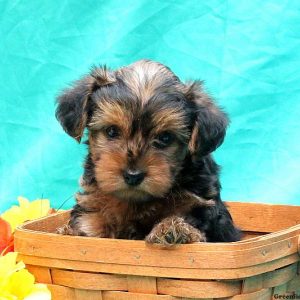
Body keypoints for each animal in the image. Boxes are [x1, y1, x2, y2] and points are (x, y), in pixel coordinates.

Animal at [55, 59, 241, 245]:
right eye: (112, 131)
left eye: (165, 137)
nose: (133, 175)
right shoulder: (94, 200)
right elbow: (91, 220)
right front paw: (74, 232)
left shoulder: (200, 203)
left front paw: (174, 229)